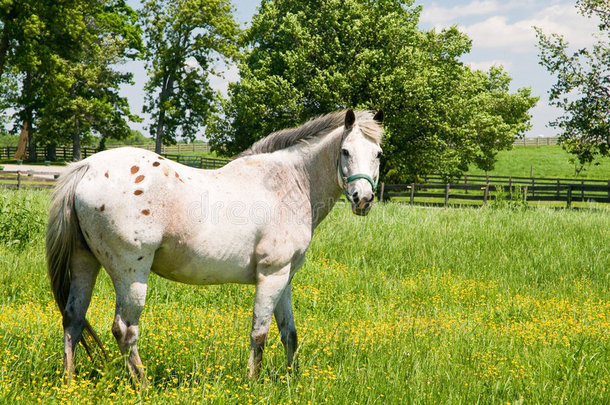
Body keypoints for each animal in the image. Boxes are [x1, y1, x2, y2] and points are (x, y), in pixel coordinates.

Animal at [46, 107, 380, 378]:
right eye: (345, 151)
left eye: (378, 154)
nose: (363, 199)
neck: (288, 183)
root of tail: (87, 168)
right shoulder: (271, 274)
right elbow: (260, 333)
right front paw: (253, 382)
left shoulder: (285, 277)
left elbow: (289, 333)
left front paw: (291, 379)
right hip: (131, 273)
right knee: (125, 330)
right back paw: (142, 385)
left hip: (84, 262)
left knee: (73, 319)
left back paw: (69, 381)